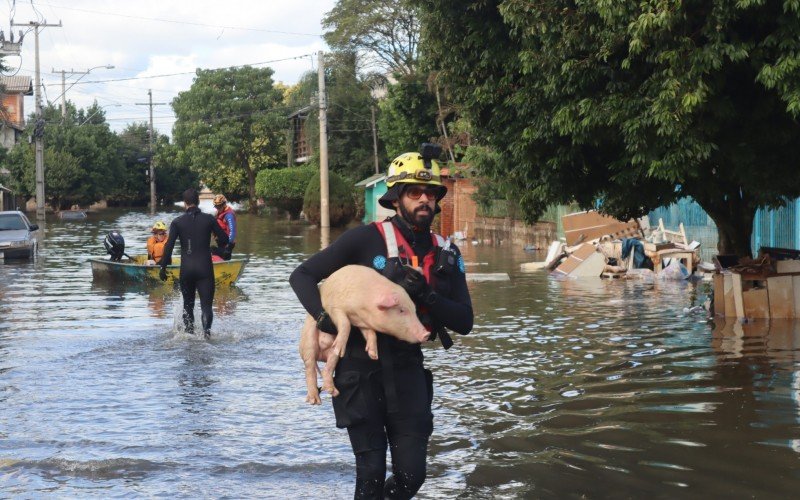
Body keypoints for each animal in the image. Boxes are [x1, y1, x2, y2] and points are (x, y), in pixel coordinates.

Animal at [298, 264, 428, 404]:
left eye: (414, 310)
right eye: (401, 310)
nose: (426, 333)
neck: (362, 308)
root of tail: (321, 354)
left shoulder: (363, 323)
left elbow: (371, 334)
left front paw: (373, 354)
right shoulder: (335, 308)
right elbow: (345, 324)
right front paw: (339, 346)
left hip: (330, 357)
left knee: (328, 367)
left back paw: (334, 390)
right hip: (308, 341)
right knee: (309, 367)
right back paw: (314, 401)